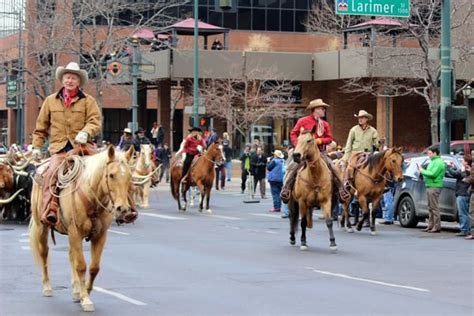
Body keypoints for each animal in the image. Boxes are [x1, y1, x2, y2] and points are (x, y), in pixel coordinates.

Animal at [29, 146, 137, 312]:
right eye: (111, 175)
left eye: (130, 176)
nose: (123, 209)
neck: (92, 195)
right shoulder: (75, 231)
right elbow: (81, 266)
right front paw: (85, 299)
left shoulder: (100, 235)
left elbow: (94, 267)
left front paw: (85, 291)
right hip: (42, 226)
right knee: (44, 253)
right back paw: (47, 287)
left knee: (71, 255)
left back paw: (75, 290)